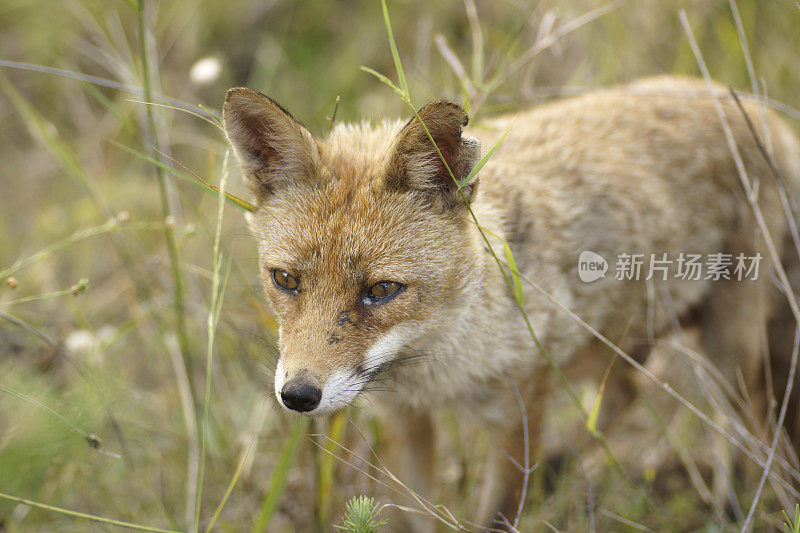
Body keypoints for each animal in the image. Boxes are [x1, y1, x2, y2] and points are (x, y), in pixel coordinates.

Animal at [222, 75, 800, 528]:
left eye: (382, 290)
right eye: (285, 280)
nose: (298, 396)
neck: (439, 372)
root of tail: (755, 107)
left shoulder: (517, 415)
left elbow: (496, 518)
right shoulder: (407, 421)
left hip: (729, 359)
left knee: (755, 435)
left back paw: (738, 505)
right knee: (627, 394)